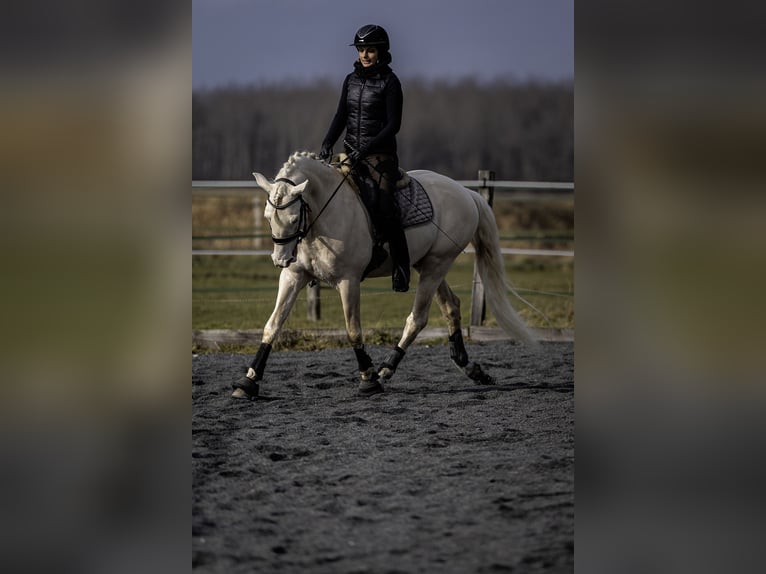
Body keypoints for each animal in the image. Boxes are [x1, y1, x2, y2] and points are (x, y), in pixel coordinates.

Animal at [234, 151, 540, 398]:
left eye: (295, 218)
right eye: (267, 216)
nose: (280, 259)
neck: (324, 216)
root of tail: (467, 193)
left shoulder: (348, 281)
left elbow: (353, 330)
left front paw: (368, 379)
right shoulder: (293, 278)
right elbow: (272, 325)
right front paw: (249, 382)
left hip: (436, 266)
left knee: (417, 319)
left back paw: (384, 370)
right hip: (426, 265)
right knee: (451, 307)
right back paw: (470, 368)